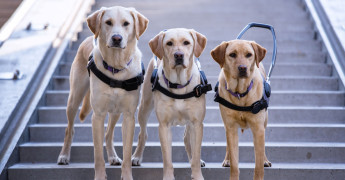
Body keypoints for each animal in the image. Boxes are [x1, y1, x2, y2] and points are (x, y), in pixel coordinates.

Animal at [56, 5, 148, 180]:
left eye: (126, 23)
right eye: (108, 22)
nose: (117, 38)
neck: (116, 68)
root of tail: (87, 39)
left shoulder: (128, 116)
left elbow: (127, 153)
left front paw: (127, 175)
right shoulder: (97, 115)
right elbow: (97, 154)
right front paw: (99, 176)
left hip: (115, 112)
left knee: (108, 134)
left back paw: (113, 157)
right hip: (74, 99)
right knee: (69, 129)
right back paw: (64, 155)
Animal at [131, 28, 208, 180]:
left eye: (186, 42)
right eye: (169, 43)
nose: (178, 55)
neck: (178, 84)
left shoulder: (197, 123)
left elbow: (196, 154)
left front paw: (197, 175)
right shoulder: (164, 126)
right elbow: (167, 158)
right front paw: (168, 176)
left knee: (187, 139)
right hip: (144, 107)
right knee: (142, 134)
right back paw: (137, 156)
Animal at [210, 39, 272, 180]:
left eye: (249, 54)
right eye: (232, 55)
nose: (243, 68)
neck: (240, 93)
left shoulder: (258, 129)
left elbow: (258, 165)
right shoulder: (231, 127)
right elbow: (234, 163)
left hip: (265, 121)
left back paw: (265, 160)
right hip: (227, 126)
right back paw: (227, 159)